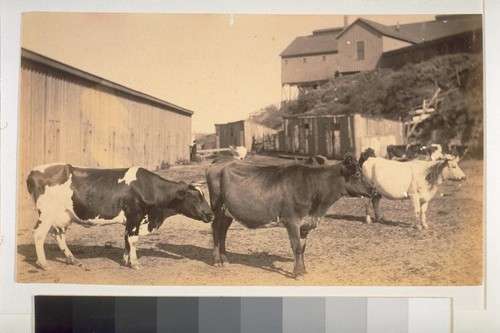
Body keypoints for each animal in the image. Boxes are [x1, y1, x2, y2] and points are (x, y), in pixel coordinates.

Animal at [205, 156, 374, 278]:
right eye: (357, 174)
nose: (373, 190)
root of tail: (220, 161)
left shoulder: (305, 224)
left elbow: (303, 248)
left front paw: (303, 270)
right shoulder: (291, 221)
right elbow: (296, 247)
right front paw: (297, 273)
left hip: (228, 212)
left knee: (223, 232)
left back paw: (225, 260)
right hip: (218, 207)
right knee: (215, 230)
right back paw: (217, 261)